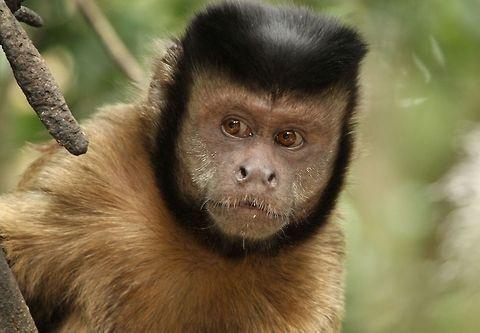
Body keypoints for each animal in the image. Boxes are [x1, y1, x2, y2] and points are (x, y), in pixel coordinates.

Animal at [0, 1, 368, 330]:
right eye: (234, 126)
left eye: (288, 137)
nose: (258, 173)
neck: (208, 243)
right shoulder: (89, 175)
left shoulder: (318, 272)